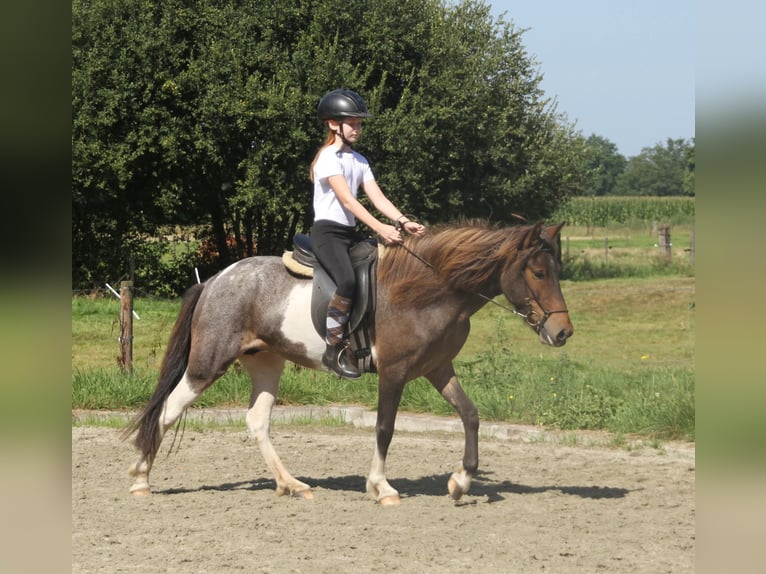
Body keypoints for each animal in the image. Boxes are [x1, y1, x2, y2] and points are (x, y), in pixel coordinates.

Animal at [125, 220, 574, 506]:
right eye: (537, 272)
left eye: (556, 270)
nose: (563, 332)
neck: (431, 289)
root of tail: (215, 280)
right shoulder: (394, 372)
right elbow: (385, 428)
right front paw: (381, 488)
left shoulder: (437, 368)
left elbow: (471, 415)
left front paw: (461, 482)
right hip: (207, 364)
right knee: (166, 411)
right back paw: (141, 479)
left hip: (266, 362)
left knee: (257, 421)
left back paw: (292, 484)